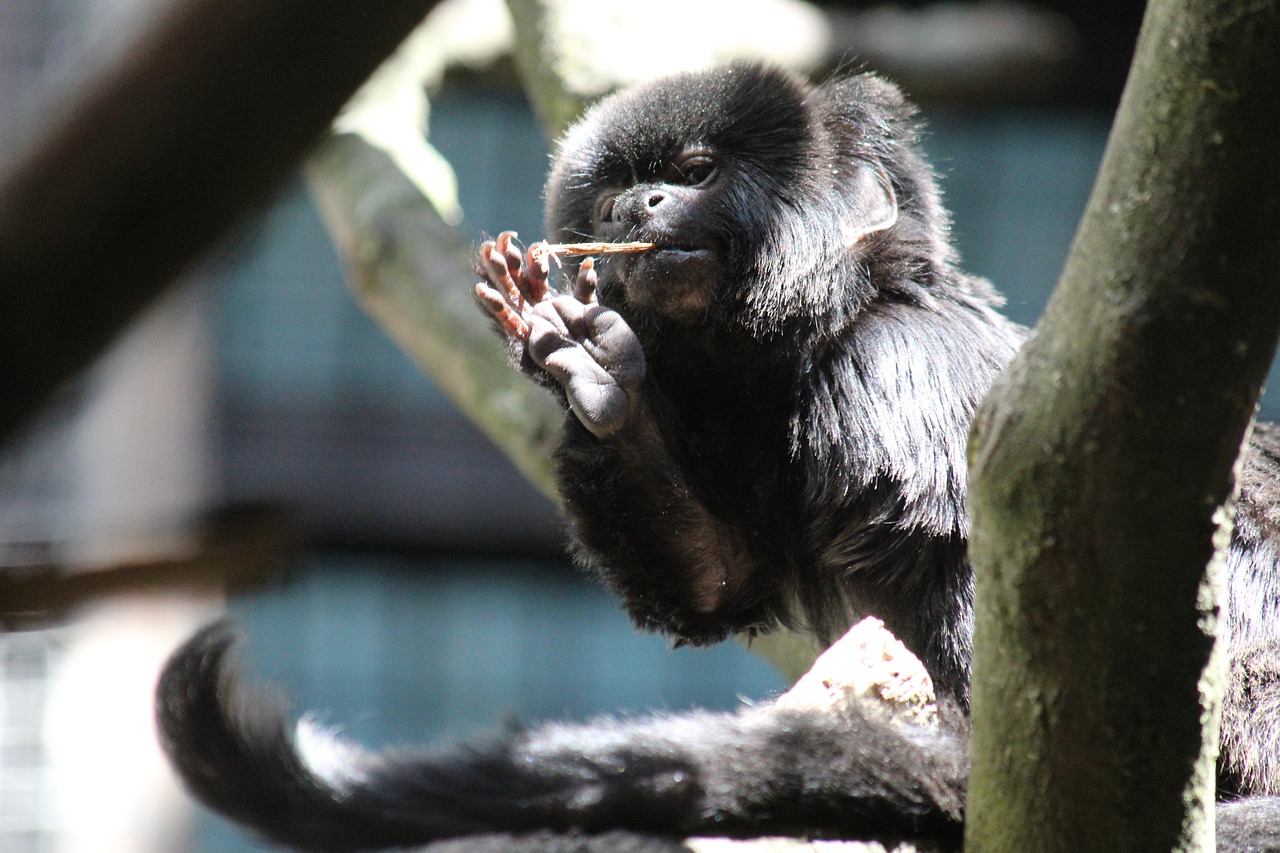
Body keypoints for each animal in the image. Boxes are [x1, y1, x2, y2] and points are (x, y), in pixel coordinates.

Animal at [157, 63, 1280, 845]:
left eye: (693, 175)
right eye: (618, 189)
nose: (637, 210)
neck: (806, 342)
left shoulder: (898, 363)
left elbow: (985, 546)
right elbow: (715, 579)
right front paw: (592, 379)